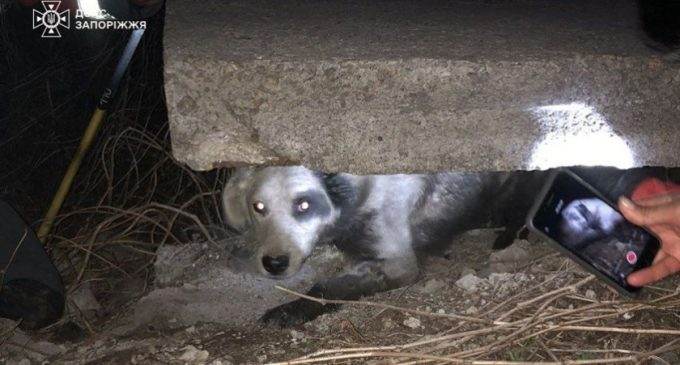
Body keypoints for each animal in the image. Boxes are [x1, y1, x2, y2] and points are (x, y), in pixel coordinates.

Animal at [222, 164, 668, 326]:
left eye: (303, 204)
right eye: (258, 207)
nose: (274, 263)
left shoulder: (398, 261)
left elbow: (330, 287)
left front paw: (287, 311)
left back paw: (507, 236)